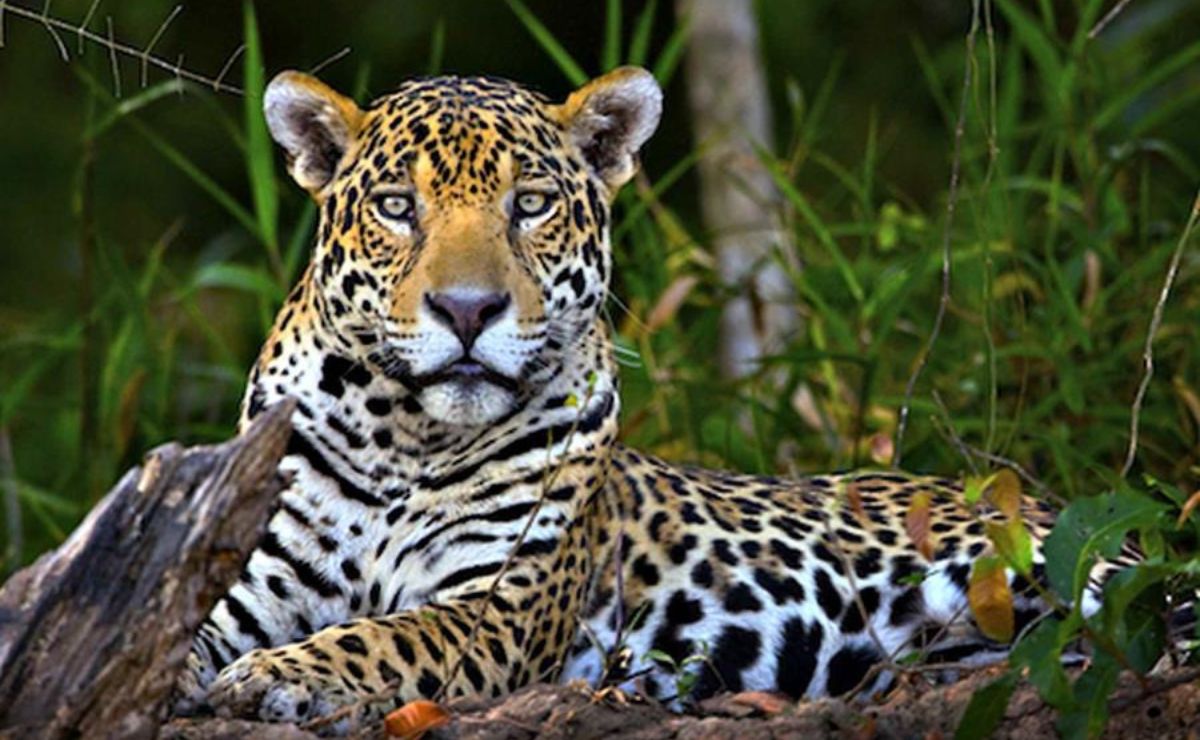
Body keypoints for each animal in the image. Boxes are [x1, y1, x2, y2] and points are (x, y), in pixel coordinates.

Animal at [174, 66, 1095, 731]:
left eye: (530, 205)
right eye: (398, 207)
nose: (468, 310)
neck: (404, 435)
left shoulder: (500, 604)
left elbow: (384, 637)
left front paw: (273, 675)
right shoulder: (249, 578)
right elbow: (181, 630)